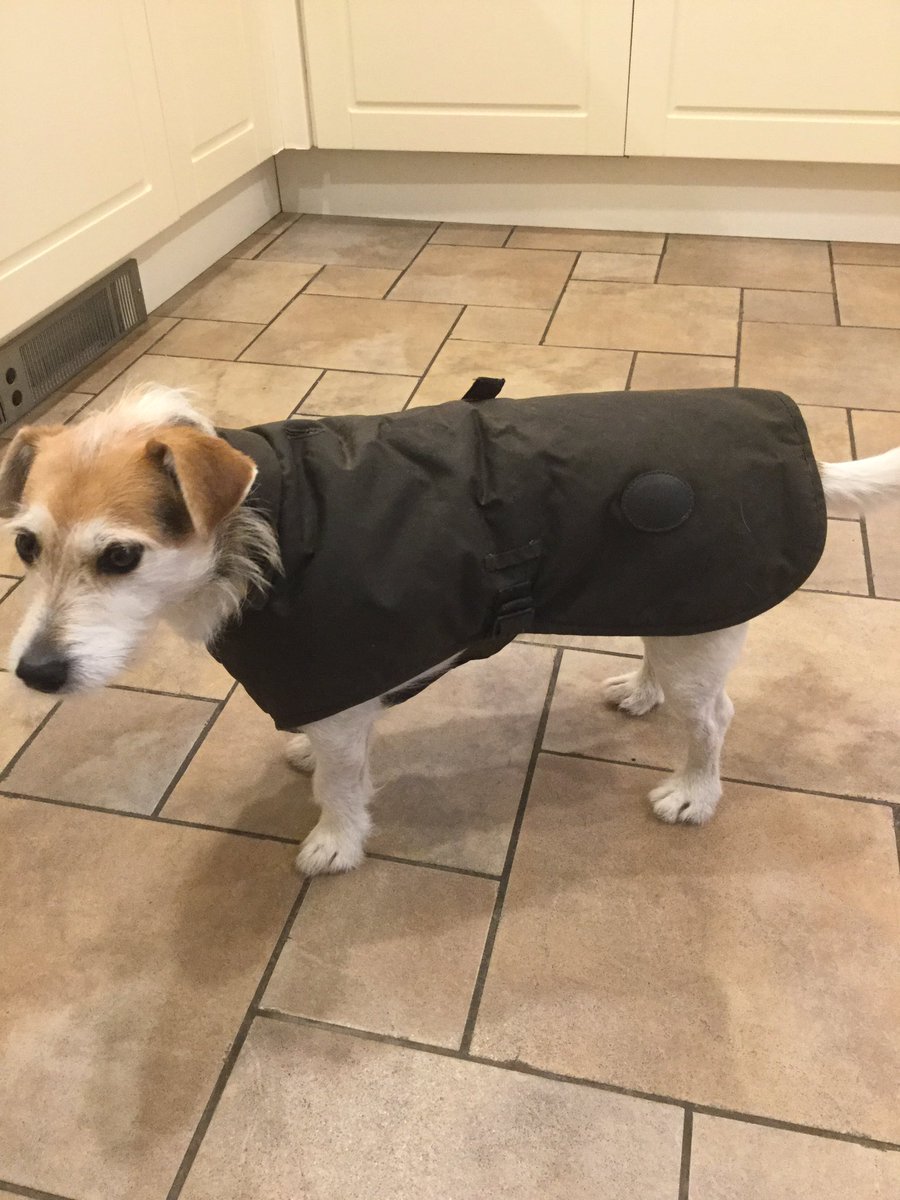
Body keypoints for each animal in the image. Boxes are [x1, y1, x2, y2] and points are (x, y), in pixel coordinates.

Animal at [1, 384, 898, 876]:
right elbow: (330, 754)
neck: (262, 529)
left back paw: (695, 791)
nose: (35, 674)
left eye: (120, 556)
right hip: (673, 607)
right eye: (25, 546)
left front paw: (336, 841)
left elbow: (340, 785)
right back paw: (643, 694)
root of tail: (807, 462)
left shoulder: (336, 680)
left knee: (712, 719)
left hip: (703, 630)